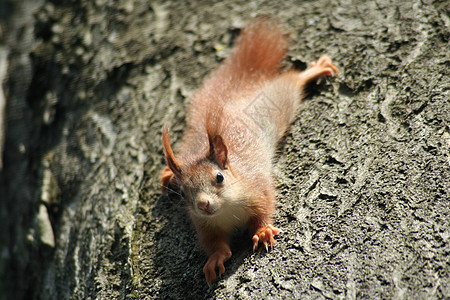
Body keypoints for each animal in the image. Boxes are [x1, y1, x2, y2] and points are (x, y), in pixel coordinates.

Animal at [159, 18, 338, 284]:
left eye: (219, 177)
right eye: (183, 193)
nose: (203, 205)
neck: (227, 209)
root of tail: (237, 94)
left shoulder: (257, 188)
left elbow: (264, 209)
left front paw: (262, 231)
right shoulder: (205, 224)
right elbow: (214, 244)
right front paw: (215, 258)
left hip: (278, 100)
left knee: (291, 82)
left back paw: (314, 70)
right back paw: (167, 173)